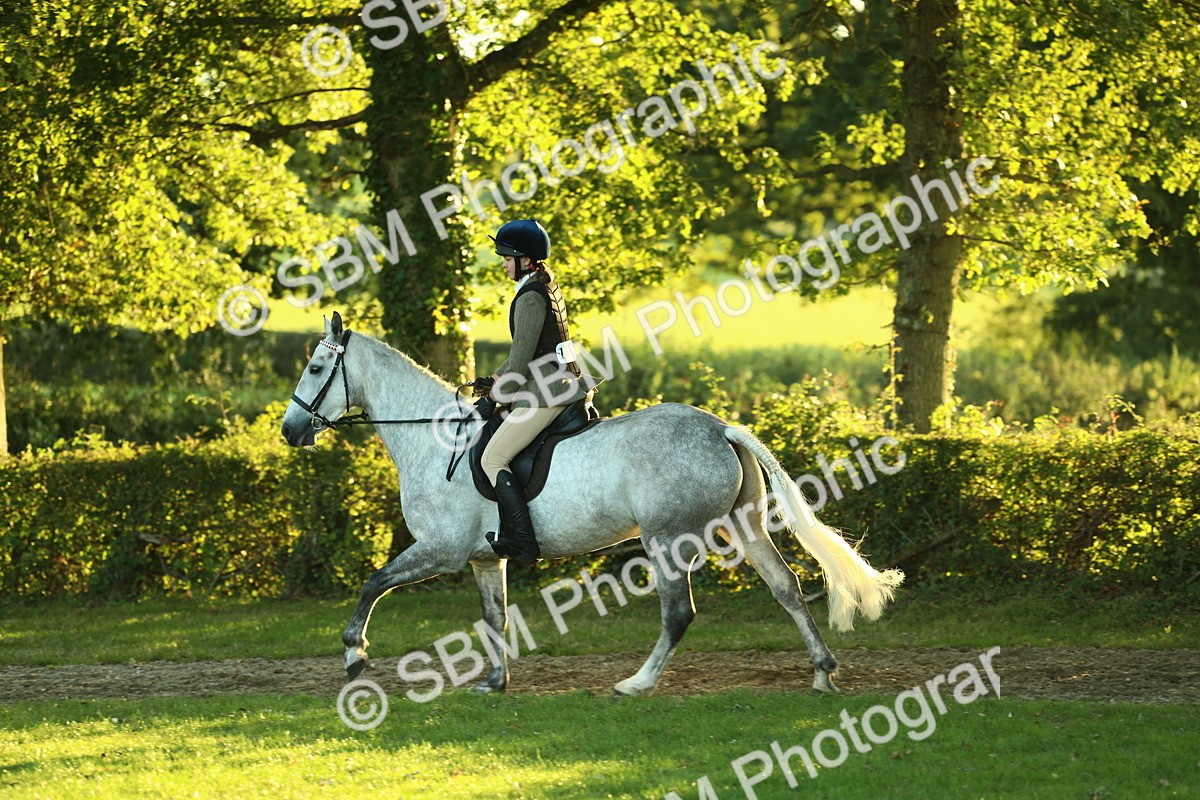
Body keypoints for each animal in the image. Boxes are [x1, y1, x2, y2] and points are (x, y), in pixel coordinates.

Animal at [280, 313, 903, 696]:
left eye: (315, 368)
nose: (289, 431)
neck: (434, 438)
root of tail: (718, 427)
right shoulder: (483, 558)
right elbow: (493, 616)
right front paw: (495, 682)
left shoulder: (441, 549)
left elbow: (372, 583)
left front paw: (354, 655)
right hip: (742, 526)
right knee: (786, 588)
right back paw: (822, 673)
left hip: (666, 539)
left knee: (678, 613)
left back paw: (637, 684)